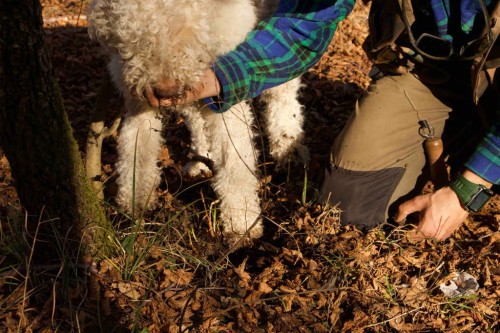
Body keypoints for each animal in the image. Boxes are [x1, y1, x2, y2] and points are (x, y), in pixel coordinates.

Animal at [88, 0, 306, 244]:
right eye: (136, 38)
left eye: (191, 31)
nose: (165, 91)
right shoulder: (138, 98)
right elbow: (135, 152)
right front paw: (135, 204)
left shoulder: (224, 94)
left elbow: (235, 163)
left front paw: (243, 225)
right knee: (196, 120)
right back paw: (200, 161)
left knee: (283, 91)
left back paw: (288, 148)